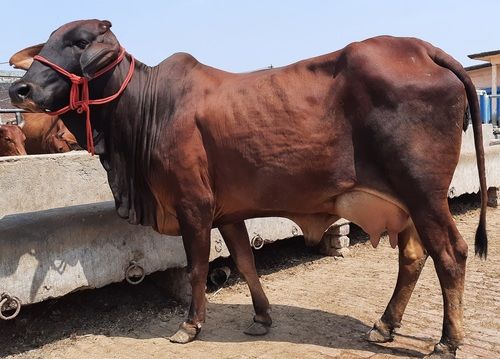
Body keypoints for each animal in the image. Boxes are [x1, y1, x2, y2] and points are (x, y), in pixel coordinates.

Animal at [8, 20, 488, 359]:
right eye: (46, 43)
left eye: (79, 41)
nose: (20, 88)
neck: (147, 108)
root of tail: (425, 50)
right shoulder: (228, 212)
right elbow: (244, 262)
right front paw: (261, 317)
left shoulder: (193, 207)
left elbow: (197, 268)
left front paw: (190, 325)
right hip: (407, 204)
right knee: (413, 257)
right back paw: (385, 326)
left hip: (424, 195)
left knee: (451, 254)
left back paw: (447, 342)